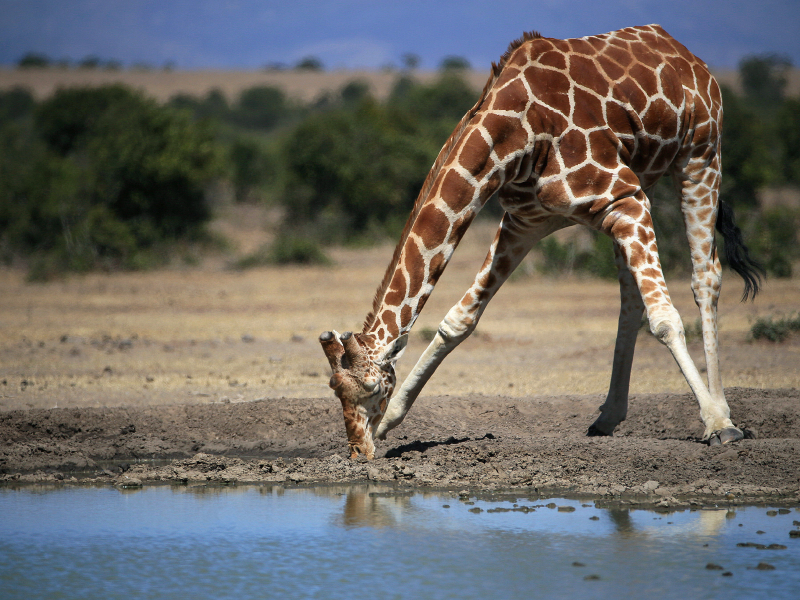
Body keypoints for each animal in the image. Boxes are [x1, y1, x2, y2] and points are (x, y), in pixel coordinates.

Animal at [318, 23, 764, 460]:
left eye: (372, 388)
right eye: (335, 390)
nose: (358, 450)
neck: (516, 135)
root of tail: (686, 54)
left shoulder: (624, 197)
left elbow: (666, 320)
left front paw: (717, 425)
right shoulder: (527, 222)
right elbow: (457, 321)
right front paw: (392, 420)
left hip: (700, 155)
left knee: (706, 277)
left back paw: (721, 411)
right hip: (644, 183)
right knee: (631, 297)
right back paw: (607, 417)